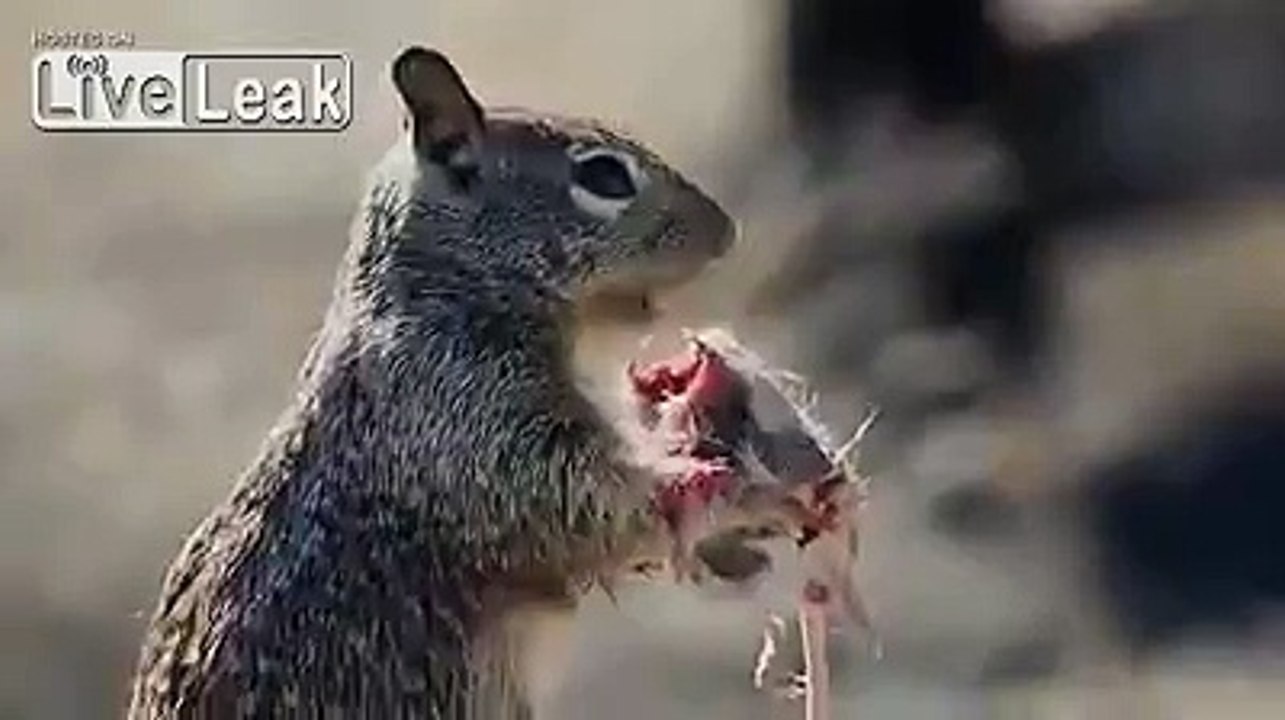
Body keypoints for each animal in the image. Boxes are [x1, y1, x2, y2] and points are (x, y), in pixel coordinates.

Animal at [126, 47, 733, 720]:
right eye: (604, 176)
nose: (725, 229)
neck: (445, 289)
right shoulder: (461, 413)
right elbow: (570, 497)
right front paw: (691, 479)